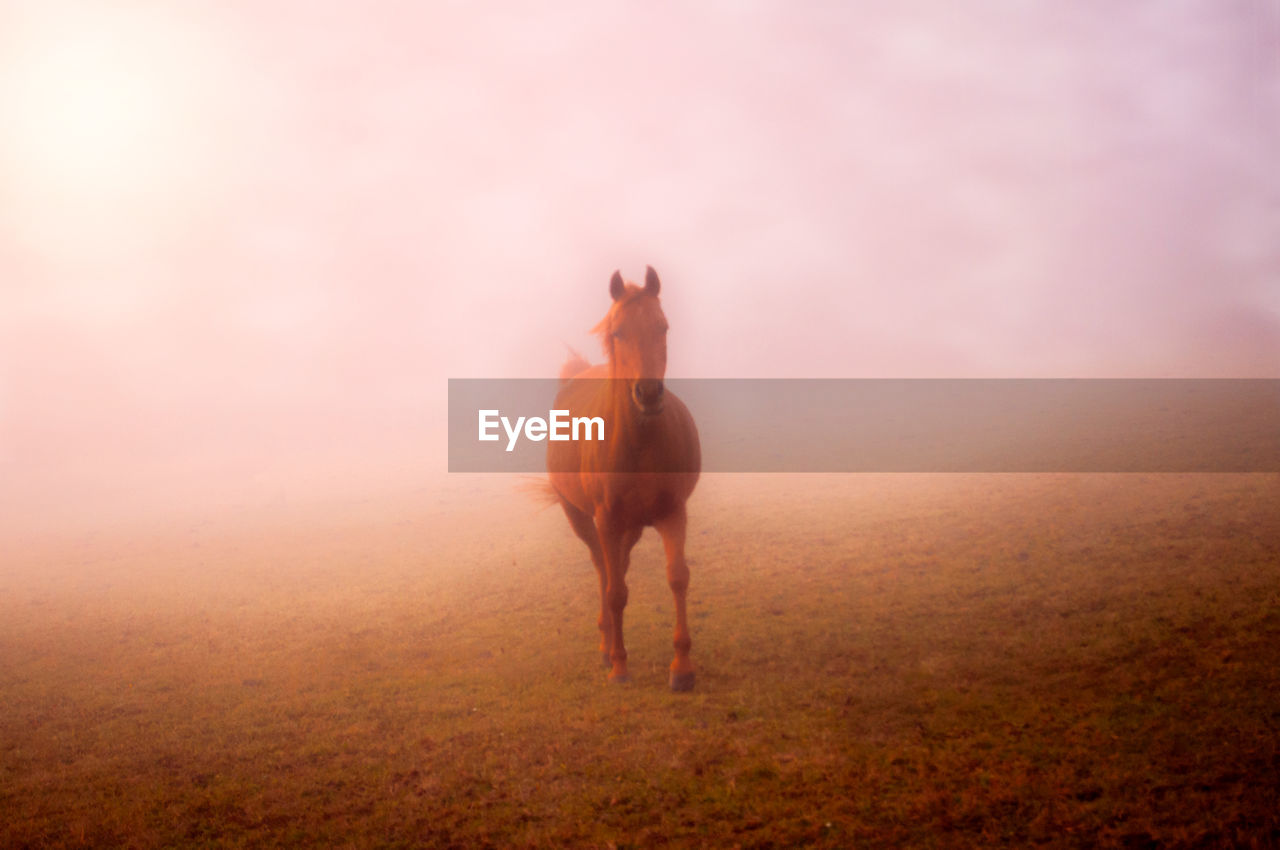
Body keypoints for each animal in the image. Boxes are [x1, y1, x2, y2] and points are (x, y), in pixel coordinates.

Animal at [545, 266, 706, 691]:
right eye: (618, 332)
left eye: (663, 327)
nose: (648, 394)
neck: (639, 443)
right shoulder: (606, 520)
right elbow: (615, 592)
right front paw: (619, 665)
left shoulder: (673, 514)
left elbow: (678, 578)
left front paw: (682, 667)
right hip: (582, 518)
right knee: (604, 570)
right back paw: (606, 647)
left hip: (631, 527)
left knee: (619, 564)